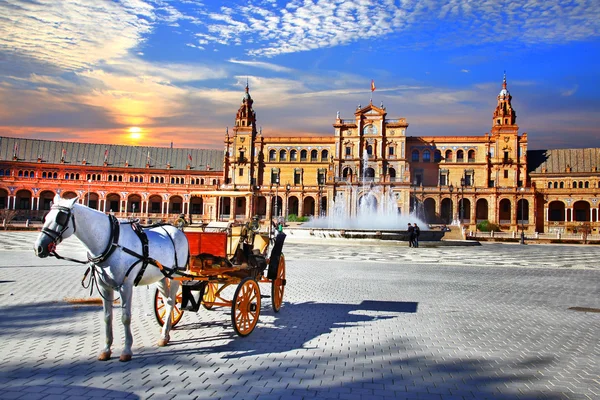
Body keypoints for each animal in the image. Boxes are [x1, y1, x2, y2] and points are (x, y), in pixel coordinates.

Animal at [34, 195, 188, 362]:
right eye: (45, 217)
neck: (110, 242)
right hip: (160, 275)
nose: (38, 248)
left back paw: (165, 334)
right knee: (167, 301)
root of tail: (177, 230)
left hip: (176, 275)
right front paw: (106, 350)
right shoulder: (104, 286)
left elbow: (125, 317)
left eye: (61, 218)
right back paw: (165, 333)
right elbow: (107, 317)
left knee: (171, 301)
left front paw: (126, 351)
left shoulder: (126, 285)